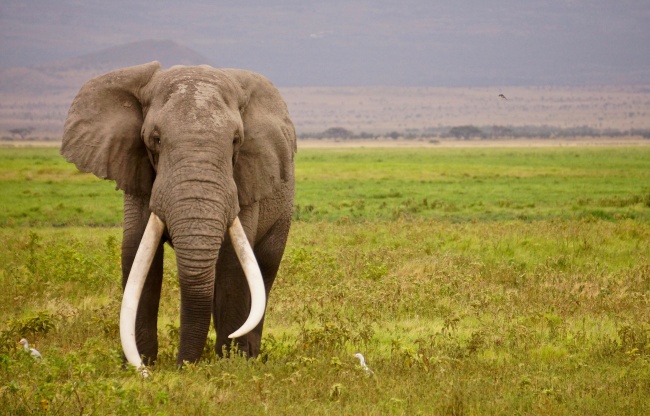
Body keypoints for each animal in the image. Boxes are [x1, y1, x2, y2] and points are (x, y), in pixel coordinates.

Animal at [60, 61, 294, 368]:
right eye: (155, 140)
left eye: (236, 141)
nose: (182, 367)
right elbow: (137, 256)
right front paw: (137, 366)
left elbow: (233, 264)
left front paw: (231, 365)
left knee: (263, 270)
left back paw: (249, 356)